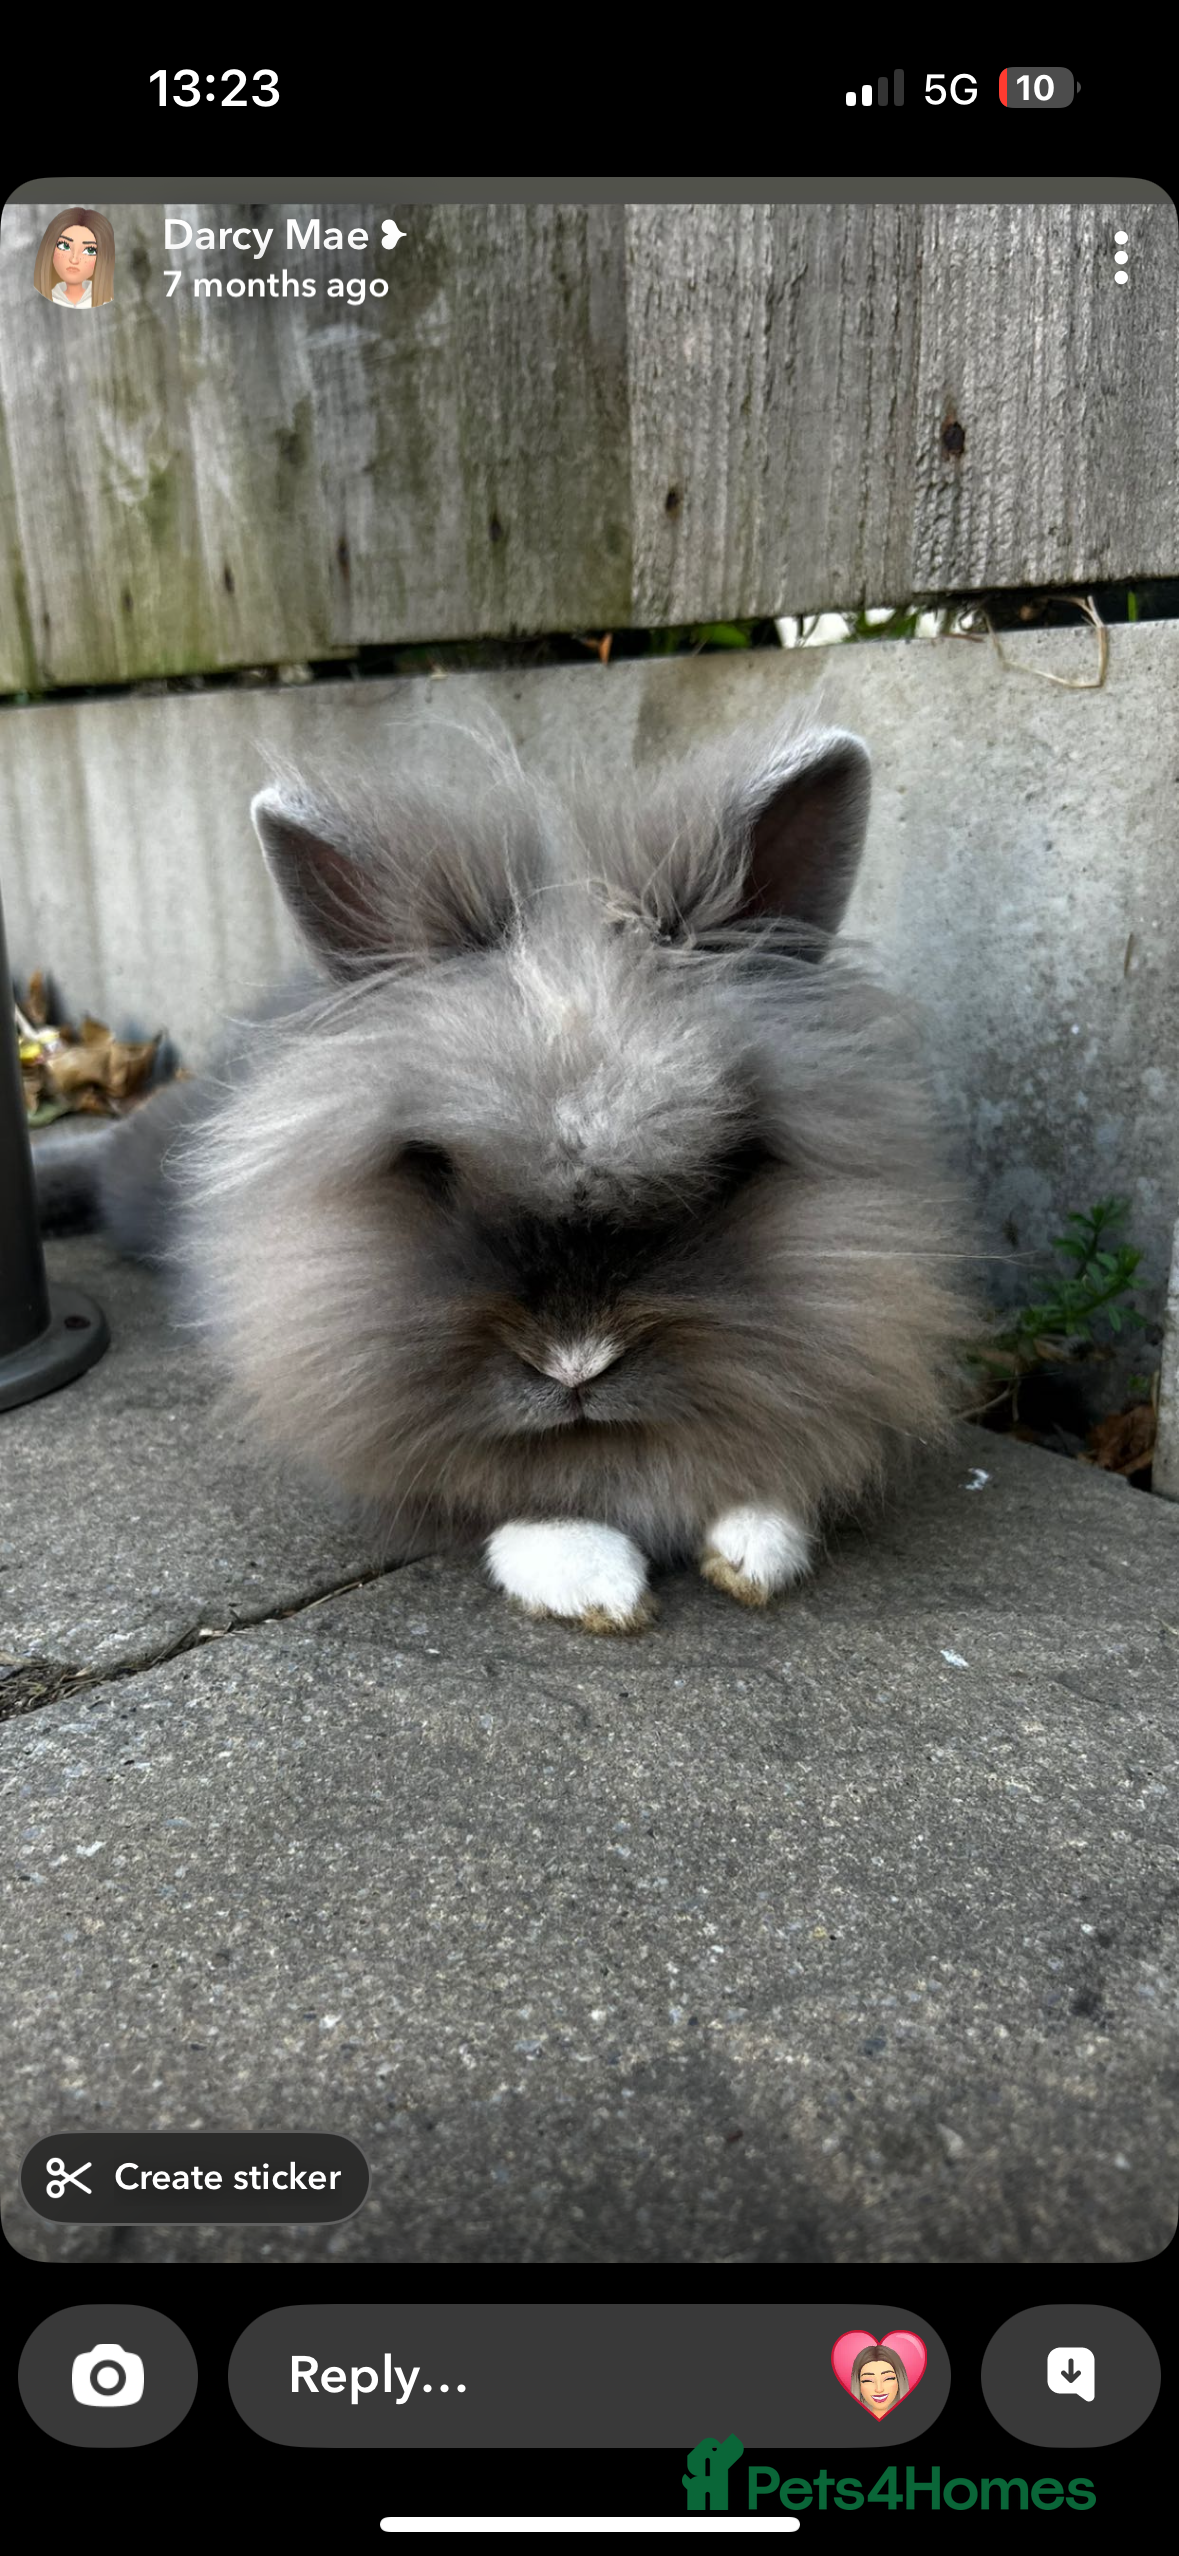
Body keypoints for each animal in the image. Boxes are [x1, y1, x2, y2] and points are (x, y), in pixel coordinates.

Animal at [34, 715, 971, 1632]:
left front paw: (754, 1551)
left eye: (730, 1164)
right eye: (432, 1169)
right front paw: (595, 1584)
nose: (575, 1366)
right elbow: (510, 1499)